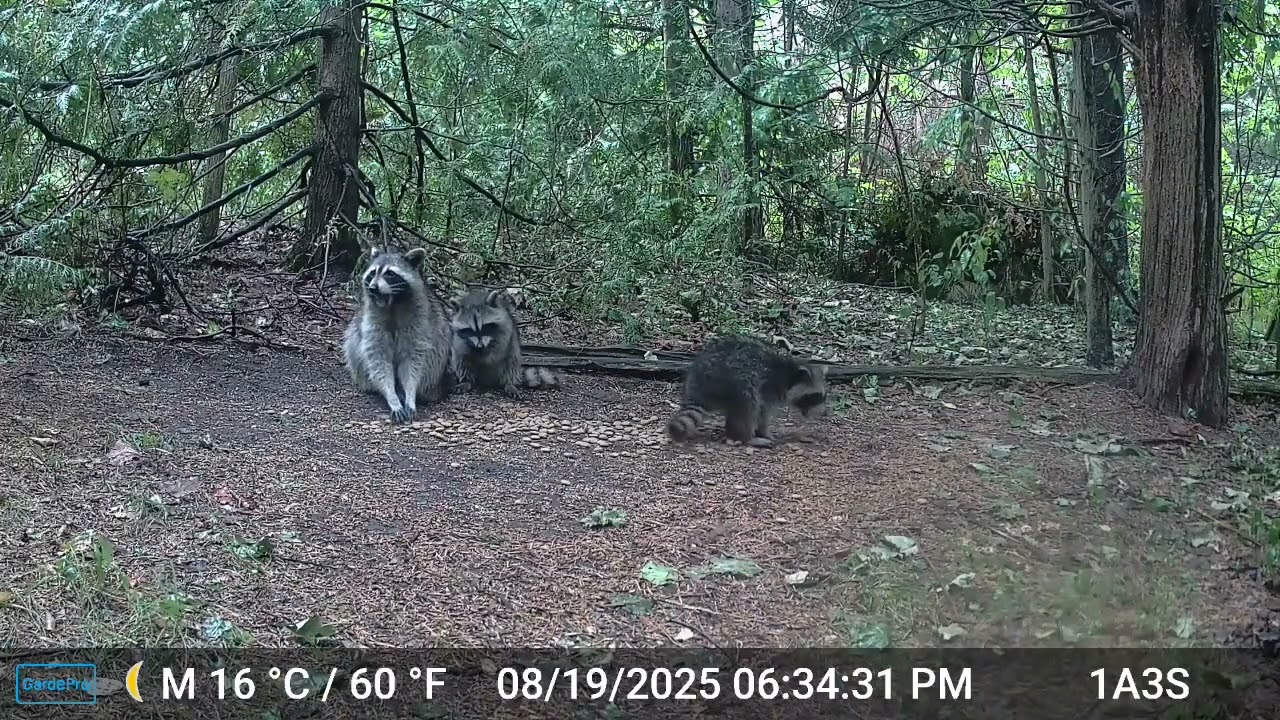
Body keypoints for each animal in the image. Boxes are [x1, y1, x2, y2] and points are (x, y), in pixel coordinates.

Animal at [342, 247, 452, 423]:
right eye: (372, 273)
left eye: (390, 274)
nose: (373, 288)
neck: (391, 303)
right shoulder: (372, 321)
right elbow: (378, 360)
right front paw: (391, 396)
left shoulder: (419, 321)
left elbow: (413, 362)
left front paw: (410, 393)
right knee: (354, 346)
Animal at [666, 335, 828, 447]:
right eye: (815, 396)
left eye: (823, 396)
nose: (825, 414)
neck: (790, 374)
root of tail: (698, 381)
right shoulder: (768, 388)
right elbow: (763, 412)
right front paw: (764, 432)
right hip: (734, 381)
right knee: (748, 406)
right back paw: (746, 438)